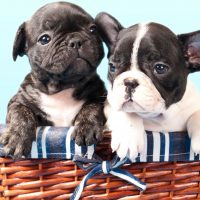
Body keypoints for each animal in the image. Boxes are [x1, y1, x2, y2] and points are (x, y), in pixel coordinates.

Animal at [0, 1, 106, 158]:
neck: (62, 88)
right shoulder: (17, 101)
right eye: (45, 39)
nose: (75, 40)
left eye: (93, 29)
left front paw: (86, 128)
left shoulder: (101, 96)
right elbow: (20, 113)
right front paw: (17, 136)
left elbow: (92, 107)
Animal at [95, 12, 200, 161]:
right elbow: (126, 112)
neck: (158, 118)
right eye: (112, 67)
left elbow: (197, 114)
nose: (130, 82)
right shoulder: (110, 104)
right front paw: (129, 138)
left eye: (160, 68)